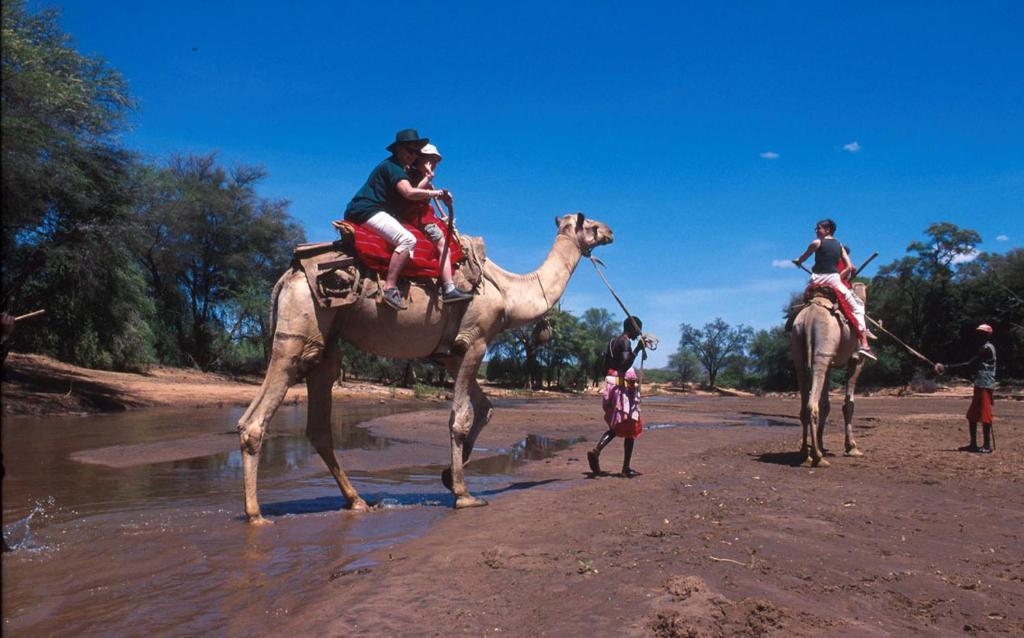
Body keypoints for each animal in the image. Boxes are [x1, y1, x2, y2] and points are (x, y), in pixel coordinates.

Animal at [235, 213, 610, 524]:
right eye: (590, 223)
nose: (610, 231)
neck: (508, 292)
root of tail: (287, 277)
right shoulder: (475, 340)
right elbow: (461, 417)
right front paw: (463, 494)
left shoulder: (451, 355)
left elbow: (485, 408)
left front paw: (448, 477)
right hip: (299, 332)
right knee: (256, 418)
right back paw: (256, 515)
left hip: (326, 344)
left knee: (318, 425)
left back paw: (357, 501)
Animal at [786, 284, 868, 469]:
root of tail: (809, 318)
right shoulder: (857, 359)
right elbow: (848, 404)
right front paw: (852, 447)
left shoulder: (830, 364)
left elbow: (826, 404)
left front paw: (823, 445)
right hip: (822, 350)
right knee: (812, 405)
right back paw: (818, 458)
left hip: (799, 349)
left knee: (805, 403)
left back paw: (805, 454)